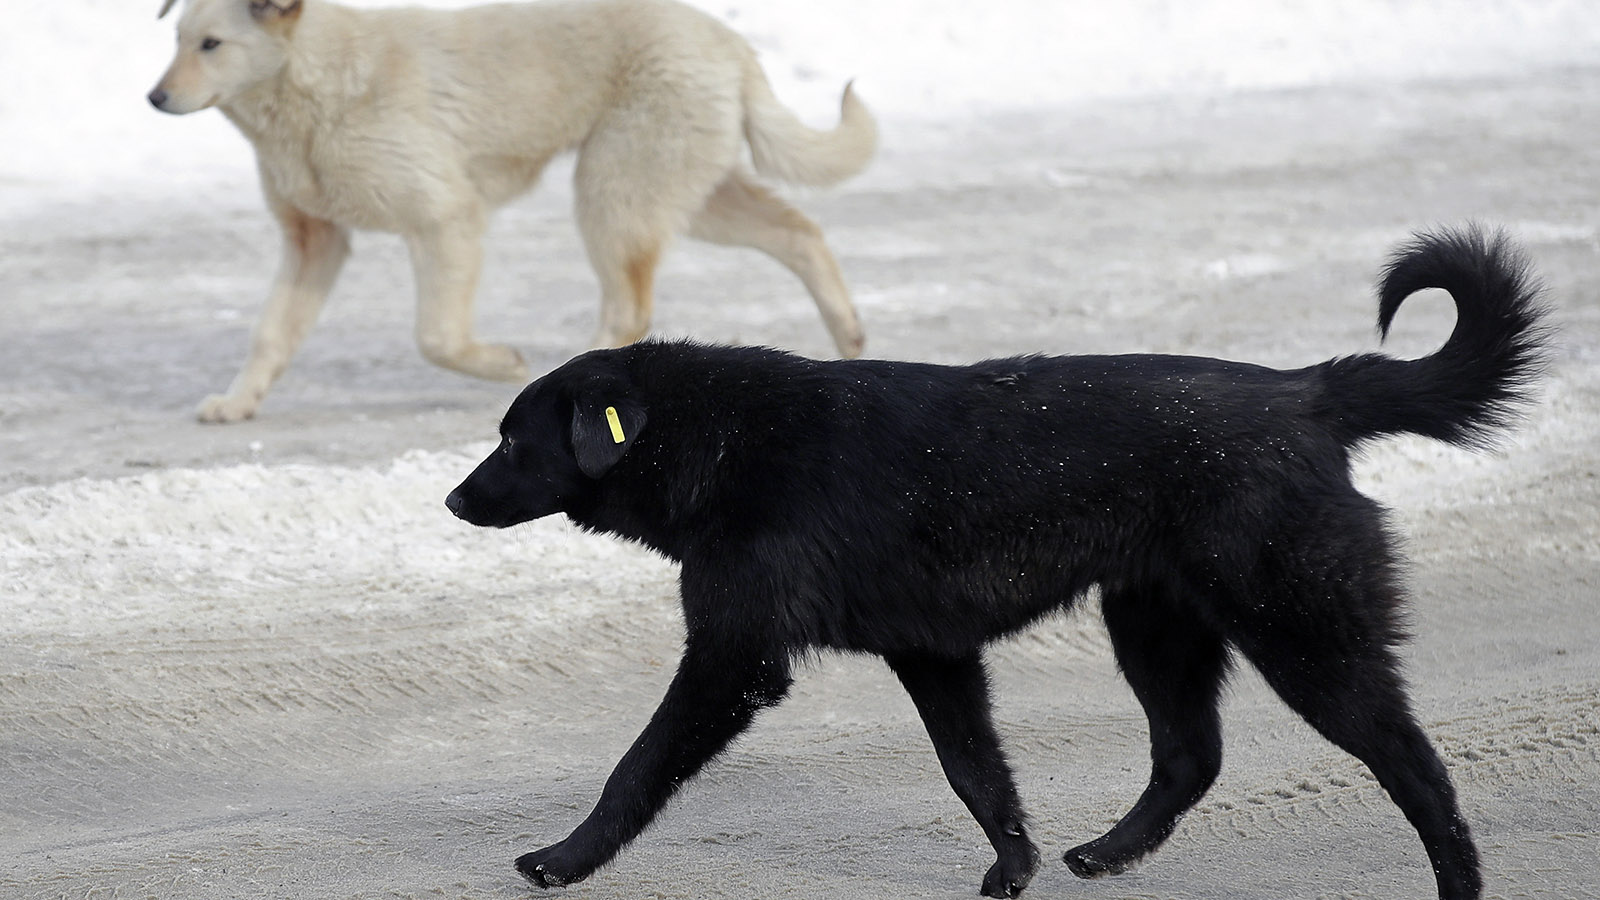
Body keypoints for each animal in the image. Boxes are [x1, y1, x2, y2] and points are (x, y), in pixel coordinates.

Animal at [150, 0, 876, 419]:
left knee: (629, 309)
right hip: (686, 194)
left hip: (613, 193)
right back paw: (848, 335)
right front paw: (239, 401)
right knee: (801, 232)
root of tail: (728, 40)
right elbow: (270, 333)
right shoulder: (314, 241)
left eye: (211, 44)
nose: (154, 98)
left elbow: (436, 338)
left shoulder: (445, 218)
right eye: (176, 39)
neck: (315, 81)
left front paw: (501, 365)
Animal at [451, 225, 1548, 900]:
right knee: (1191, 756)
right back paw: (1106, 853)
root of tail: (1307, 393)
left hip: (1303, 631)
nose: (454, 500)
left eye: (510, 441)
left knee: (1413, 764)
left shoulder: (734, 656)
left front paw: (563, 859)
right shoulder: (933, 654)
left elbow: (637, 766)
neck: (722, 439)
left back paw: (1458, 881)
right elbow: (976, 774)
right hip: (1154, 623)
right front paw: (1014, 867)